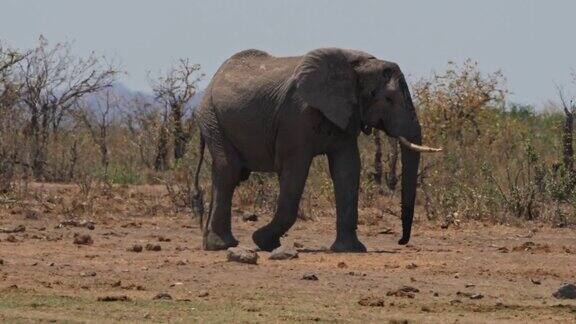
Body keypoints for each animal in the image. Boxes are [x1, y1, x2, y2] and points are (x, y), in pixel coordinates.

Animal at [194, 46, 440, 252]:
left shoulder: (345, 114)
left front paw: (350, 249)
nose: (400, 241)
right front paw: (263, 241)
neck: (357, 66)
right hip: (213, 118)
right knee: (229, 171)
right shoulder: (296, 115)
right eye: (388, 99)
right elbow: (295, 170)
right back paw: (222, 245)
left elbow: (347, 170)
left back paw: (214, 243)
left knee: (223, 173)